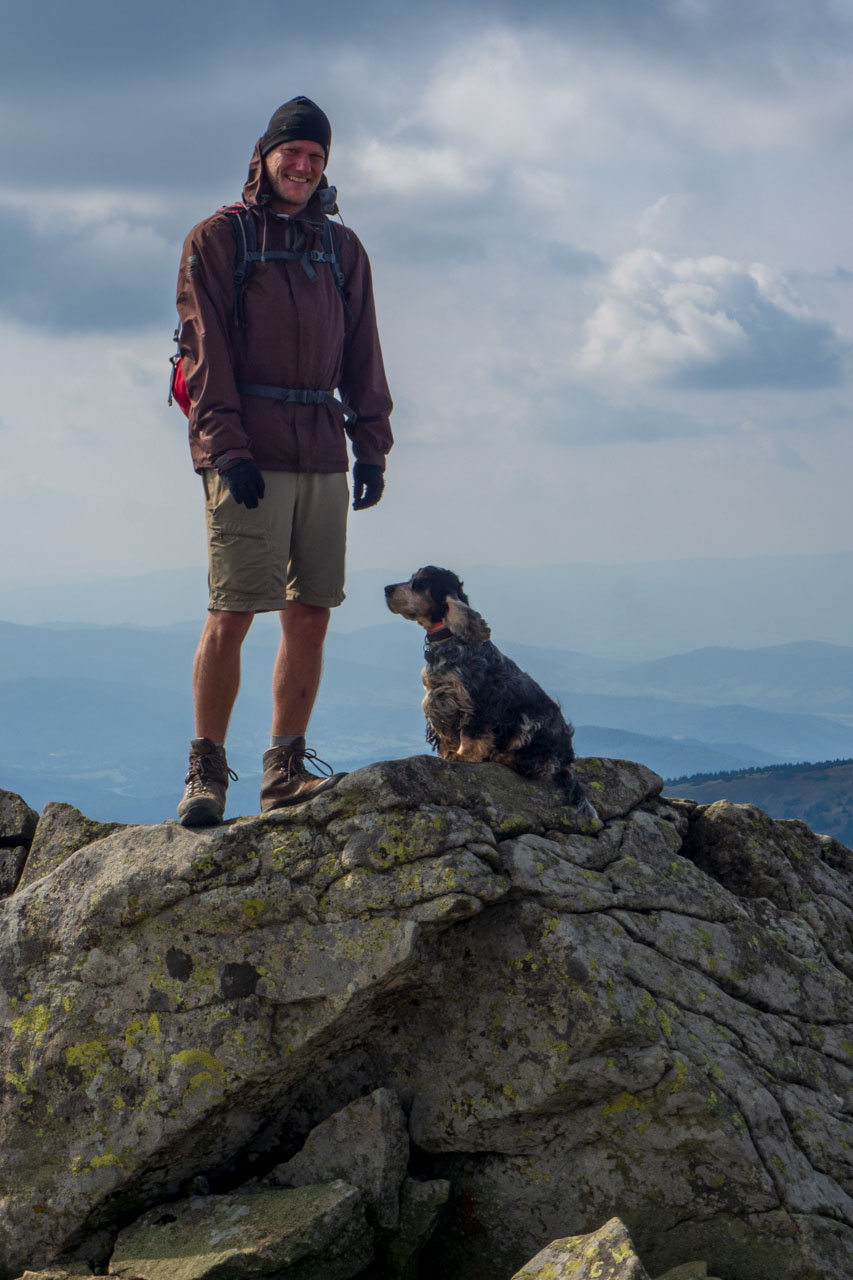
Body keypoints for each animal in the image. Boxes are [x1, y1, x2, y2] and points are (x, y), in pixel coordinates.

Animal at [386, 563, 596, 819]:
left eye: (421, 583)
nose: (387, 589)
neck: (448, 642)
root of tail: (568, 758)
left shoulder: (475, 701)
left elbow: (470, 734)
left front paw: (462, 755)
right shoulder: (438, 702)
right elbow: (447, 736)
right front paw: (447, 754)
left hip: (533, 724)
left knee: (543, 766)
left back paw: (505, 757)